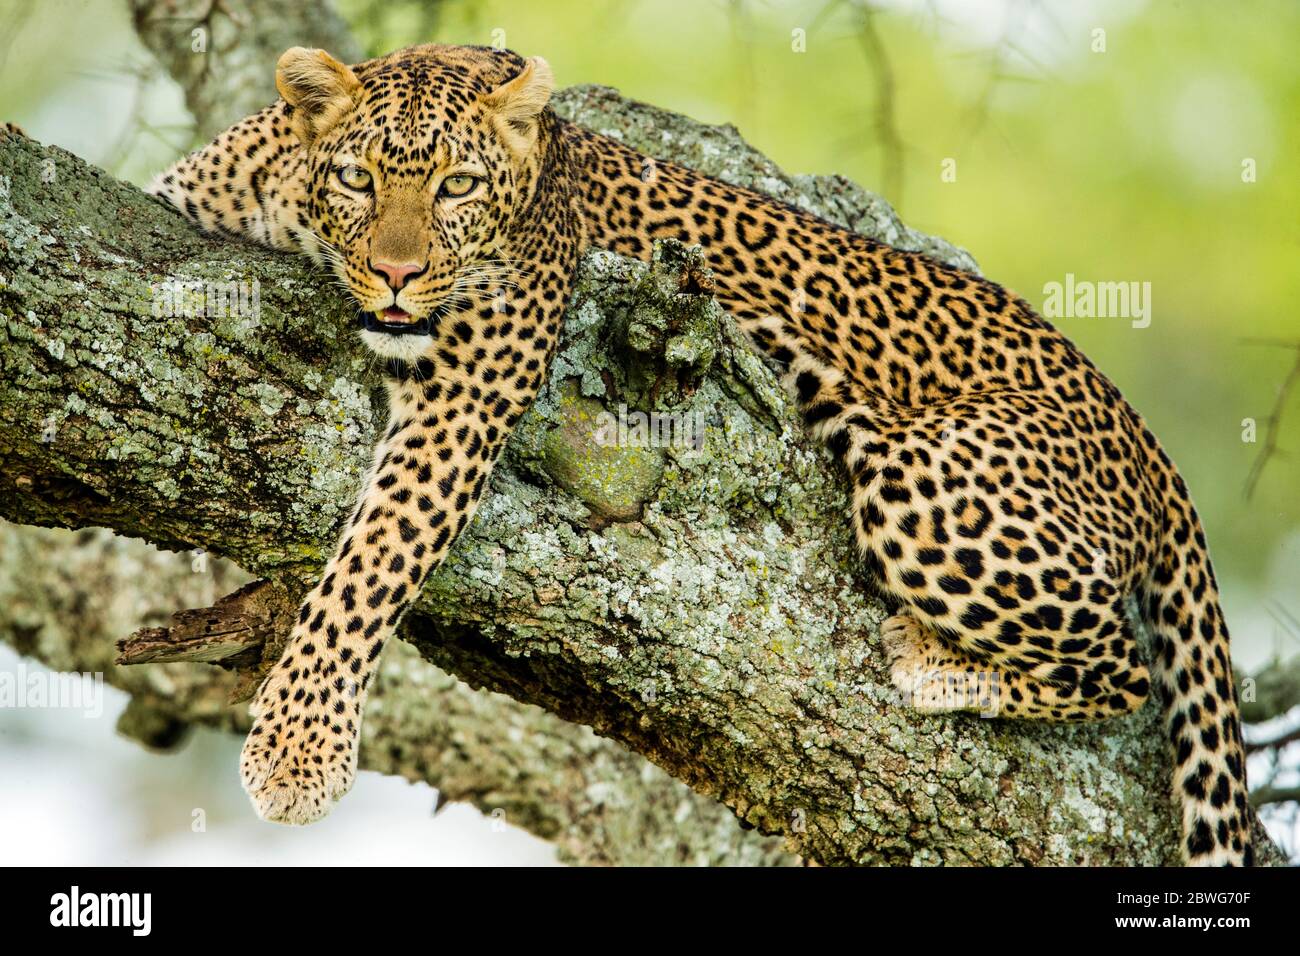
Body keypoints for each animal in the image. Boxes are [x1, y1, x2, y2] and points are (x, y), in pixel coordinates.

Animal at [147, 42, 1253, 868]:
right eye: (357, 177)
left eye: (457, 186)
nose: (395, 271)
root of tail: (1147, 442)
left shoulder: (472, 385)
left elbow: (375, 557)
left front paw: (296, 753)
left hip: (932, 482)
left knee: (1123, 668)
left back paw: (936, 666)